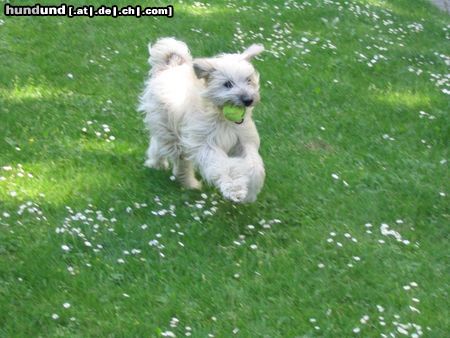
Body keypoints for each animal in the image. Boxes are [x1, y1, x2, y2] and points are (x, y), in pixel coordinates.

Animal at [139, 38, 266, 202]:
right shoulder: (204, 143)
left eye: (249, 80)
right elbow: (222, 165)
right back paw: (187, 182)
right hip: (170, 131)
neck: (222, 118)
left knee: (158, 145)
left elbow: (254, 166)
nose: (248, 100)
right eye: (228, 84)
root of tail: (168, 67)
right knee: (178, 159)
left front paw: (250, 193)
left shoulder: (244, 141)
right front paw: (234, 189)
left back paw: (155, 163)